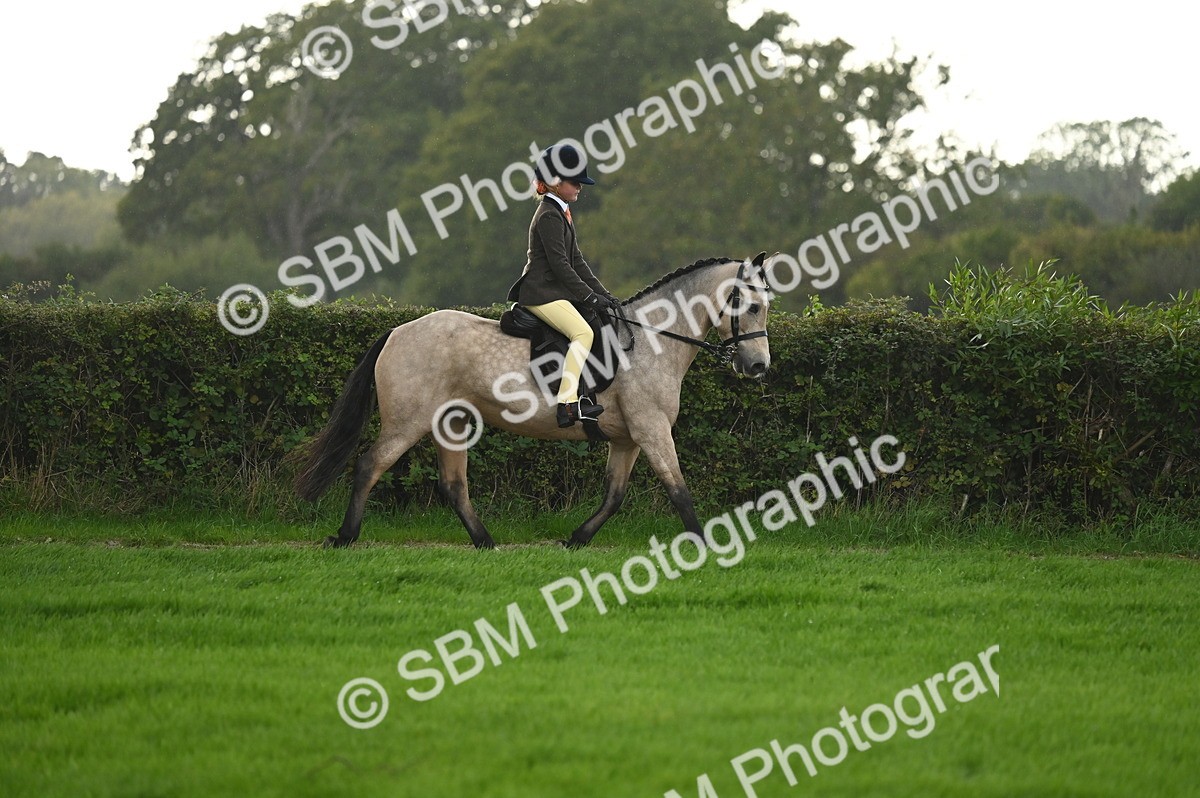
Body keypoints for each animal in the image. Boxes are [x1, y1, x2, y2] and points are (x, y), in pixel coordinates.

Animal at [291, 252, 775, 548]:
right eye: (752, 306)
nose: (758, 367)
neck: (652, 340)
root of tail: (396, 331)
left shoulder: (628, 439)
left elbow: (615, 496)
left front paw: (576, 539)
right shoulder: (652, 430)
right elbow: (679, 492)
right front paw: (707, 544)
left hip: (451, 423)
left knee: (453, 485)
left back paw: (486, 542)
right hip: (407, 422)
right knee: (369, 465)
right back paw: (346, 536)